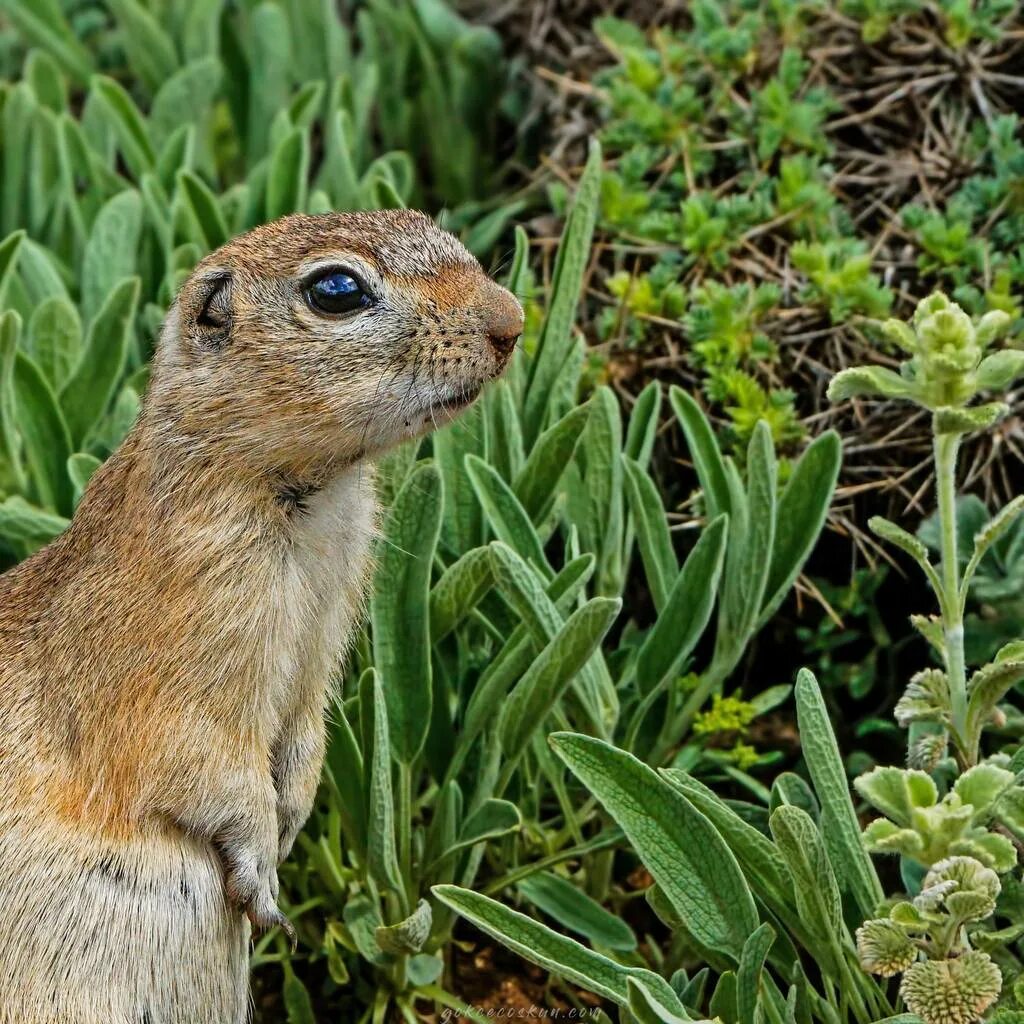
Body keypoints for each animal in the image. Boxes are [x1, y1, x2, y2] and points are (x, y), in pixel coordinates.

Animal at [0, 209, 524, 1024]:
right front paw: (266, 880)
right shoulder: (180, 658)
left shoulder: (320, 647)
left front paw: (291, 826)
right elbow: (208, 766)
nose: (513, 321)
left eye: (427, 221)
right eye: (336, 289)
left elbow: (304, 738)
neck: (311, 498)